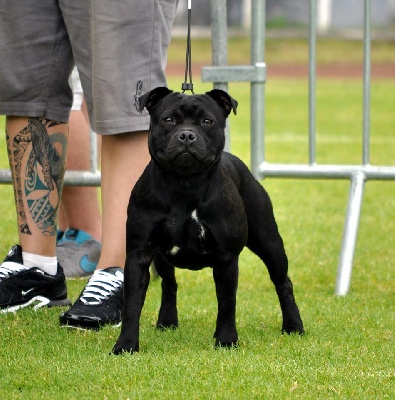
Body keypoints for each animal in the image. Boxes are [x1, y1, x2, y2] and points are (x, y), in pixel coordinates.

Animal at [113, 86, 304, 354]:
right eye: (168, 120)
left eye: (207, 121)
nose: (186, 135)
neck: (184, 184)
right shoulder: (139, 254)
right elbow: (131, 305)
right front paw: (125, 345)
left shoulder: (226, 258)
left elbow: (226, 304)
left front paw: (226, 340)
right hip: (161, 258)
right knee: (169, 283)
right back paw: (167, 321)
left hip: (269, 243)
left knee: (283, 282)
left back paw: (293, 326)